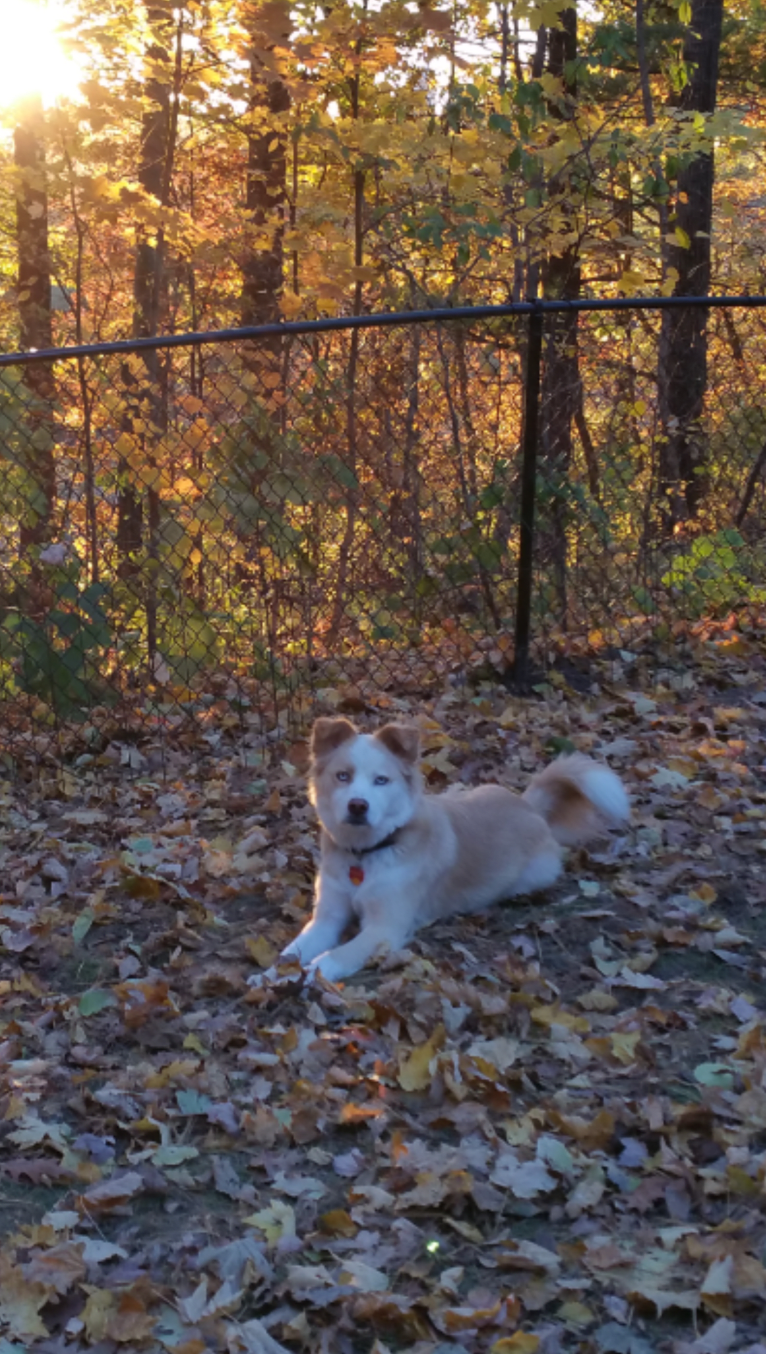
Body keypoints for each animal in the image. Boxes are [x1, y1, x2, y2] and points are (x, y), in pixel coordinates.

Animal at [273, 720, 627, 985]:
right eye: (342, 776)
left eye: (381, 780)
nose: (358, 806)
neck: (366, 852)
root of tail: (528, 805)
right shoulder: (327, 917)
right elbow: (292, 951)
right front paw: (274, 975)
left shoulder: (384, 928)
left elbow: (333, 956)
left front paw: (310, 974)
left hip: (530, 877)